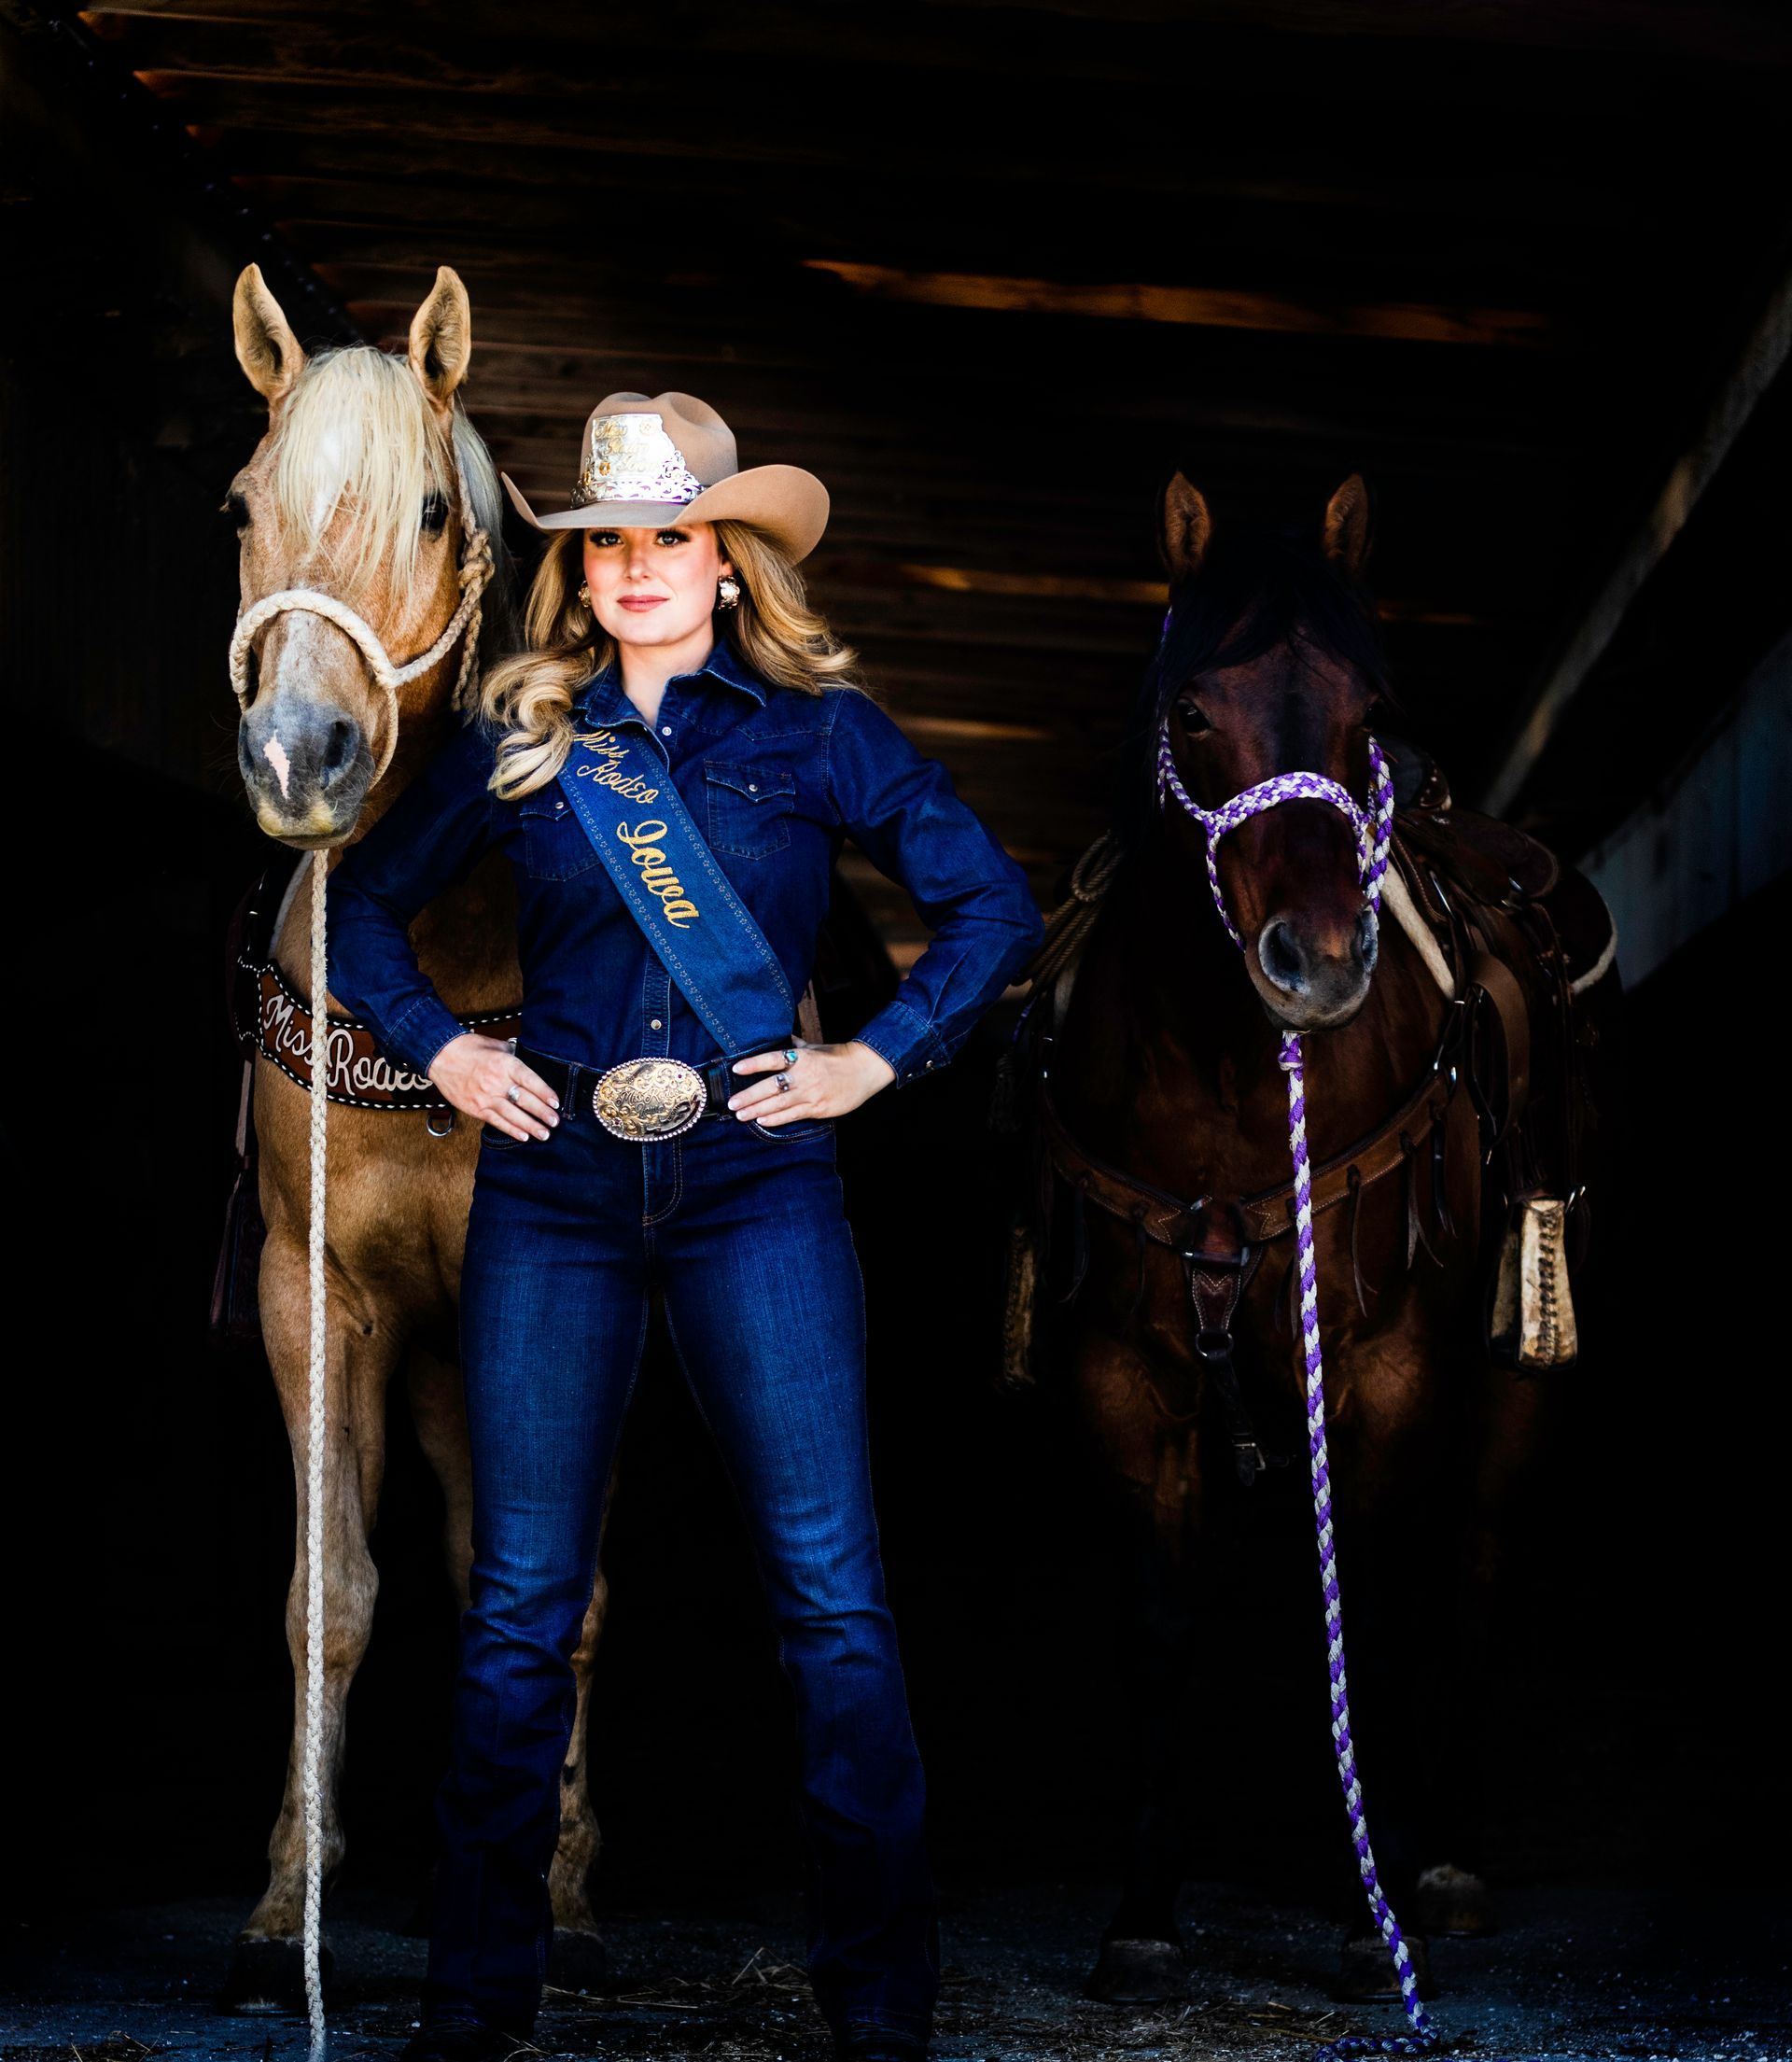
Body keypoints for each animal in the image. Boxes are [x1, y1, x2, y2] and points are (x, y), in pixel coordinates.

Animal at [1008, 473, 1616, 2006]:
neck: (1235, 1078)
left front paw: (1368, 1913)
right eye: (1192, 715)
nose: (1319, 963)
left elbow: (1381, 1608)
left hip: (1522, 1365)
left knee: (1475, 1560)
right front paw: (1145, 1917)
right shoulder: (1127, 1377)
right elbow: (1160, 1628)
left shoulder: (1386, 1368)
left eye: (1366, 719)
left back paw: (1443, 1859)